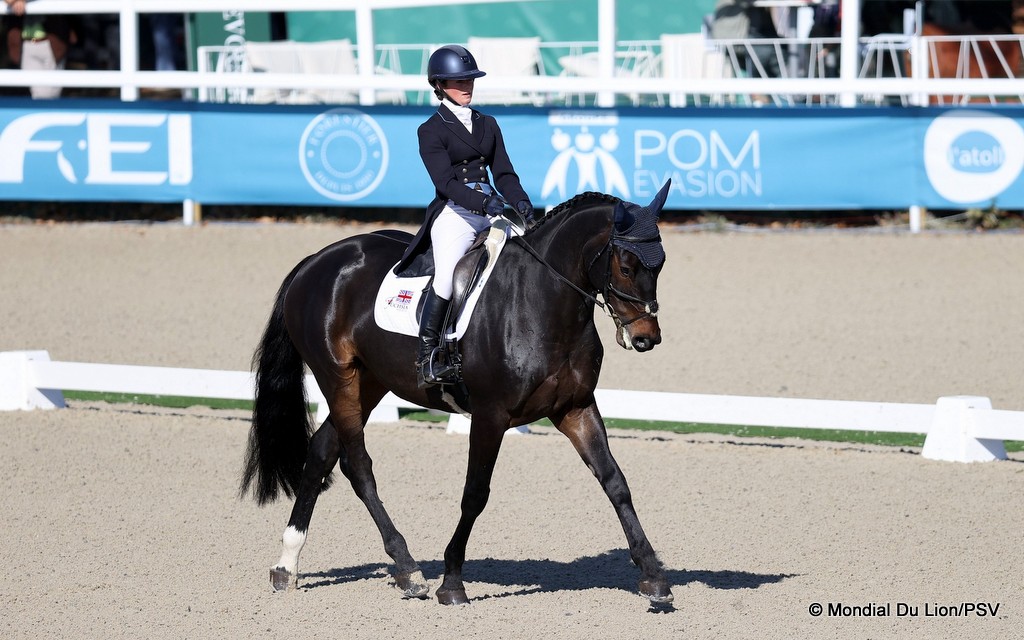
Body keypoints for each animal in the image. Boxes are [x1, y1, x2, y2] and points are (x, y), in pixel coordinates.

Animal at [240, 180, 674, 606]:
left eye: (660, 264)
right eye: (626, 266)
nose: (646, 338)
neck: (543, 301)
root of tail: (317, 260)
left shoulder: (576, 408)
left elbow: (615, 482)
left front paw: (653, 577)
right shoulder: (490, 416)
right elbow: (475, 494)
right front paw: (451, 582)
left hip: (369, 383)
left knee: (322, 453)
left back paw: (287, 566)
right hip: (338, 378)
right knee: (358, 465)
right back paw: (407, 569)